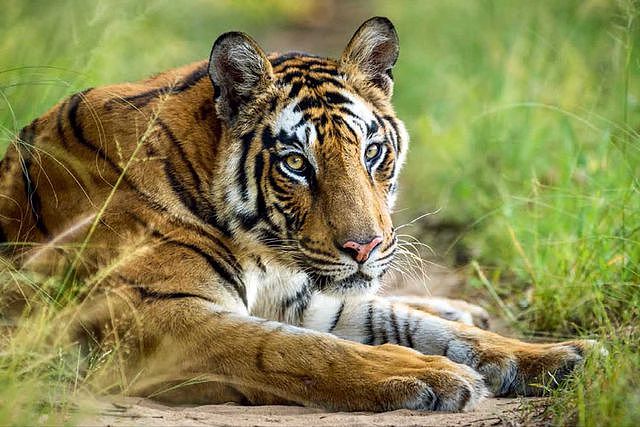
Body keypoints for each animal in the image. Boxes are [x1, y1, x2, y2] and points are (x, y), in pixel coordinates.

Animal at [0, 17, 594, 412]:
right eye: (296, 163)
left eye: (371, 152)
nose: (365, 247)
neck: (259, 251)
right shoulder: (160, 317)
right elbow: (297, 350)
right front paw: (431, 376)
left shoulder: (300, 299)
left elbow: (406, 322)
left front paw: (560, 356)